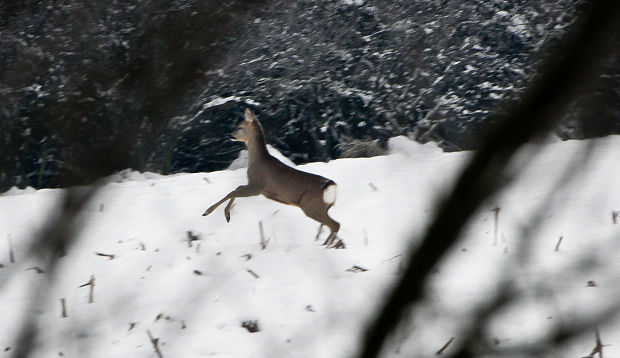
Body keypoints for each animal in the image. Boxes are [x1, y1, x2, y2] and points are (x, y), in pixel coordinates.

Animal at [203, 108, 344, 249]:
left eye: (240, 127)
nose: (231, 135)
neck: (257, 161)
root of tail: (331, 185)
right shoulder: (256, 187)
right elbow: (236, 190)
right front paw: (226, 215)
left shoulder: (257, 186)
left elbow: (234, 191)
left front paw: (210, 212)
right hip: (323, 207)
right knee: (331, 225)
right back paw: (326, 245)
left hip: (311, 206)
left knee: (335, 224)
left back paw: (326, 246)